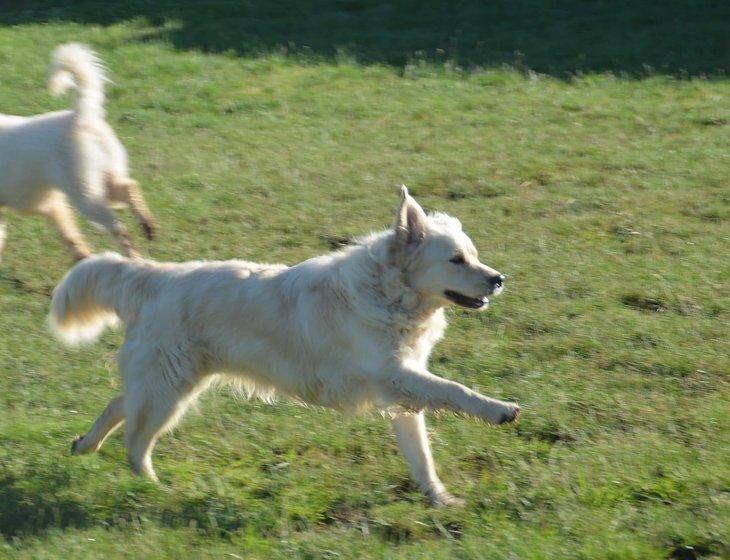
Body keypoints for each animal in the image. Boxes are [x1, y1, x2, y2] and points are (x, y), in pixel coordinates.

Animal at [0, 43, 155, 262]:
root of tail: (81, 116)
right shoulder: (51, 206)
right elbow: (73, 240)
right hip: (104, 183)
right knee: (130, 187)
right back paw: (148, 225)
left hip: (85, 196)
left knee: (118, 228)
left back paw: (136, 257)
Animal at [49, 188, 516, 508]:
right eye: (456, 260)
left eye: (473, 254)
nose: (499, 279)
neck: (388, 293)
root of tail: (155, 275)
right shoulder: (393, 374)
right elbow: (454, 389)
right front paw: (499, 409)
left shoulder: (402, 390)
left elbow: (422, 455)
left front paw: (439, 499)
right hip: (168, 391)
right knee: (135, 443)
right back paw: (155, 489)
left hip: (166, 383)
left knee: (119, 405)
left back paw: (85, 445)